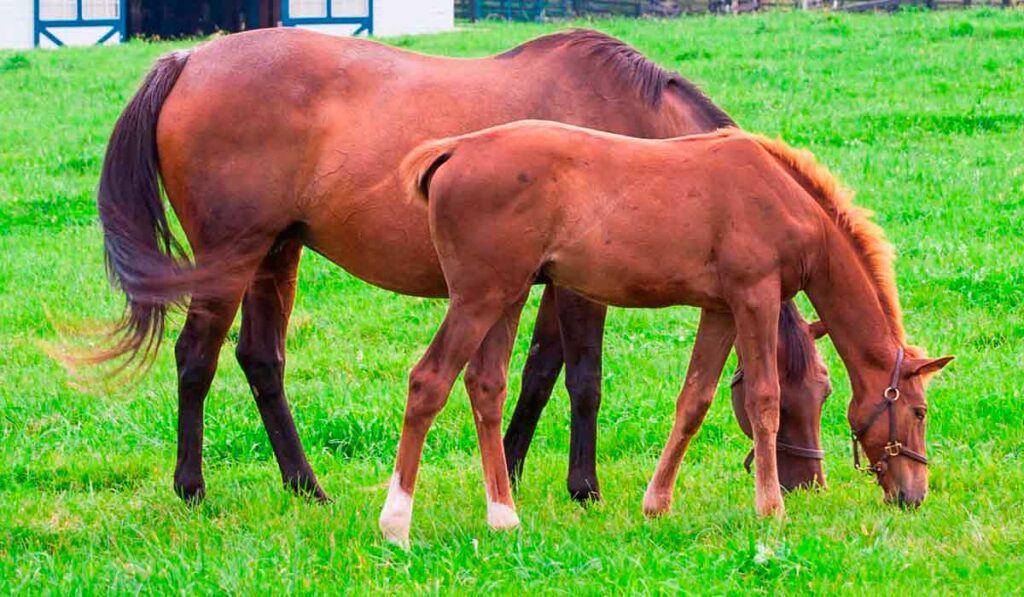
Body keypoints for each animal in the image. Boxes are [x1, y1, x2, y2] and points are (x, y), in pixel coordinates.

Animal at [395, 123, 954, 544]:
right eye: (919, 412)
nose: (915, 495)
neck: (782, 197)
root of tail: (455, 148)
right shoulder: (755, 297)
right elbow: (765, 400)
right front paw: (771, 508)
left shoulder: (721, 310)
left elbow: (694, 402)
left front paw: (657, 504)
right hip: (479, 298)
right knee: (429, 381)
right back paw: (396, 524)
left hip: (507, 297)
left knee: (485, 387)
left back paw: (503, 516)